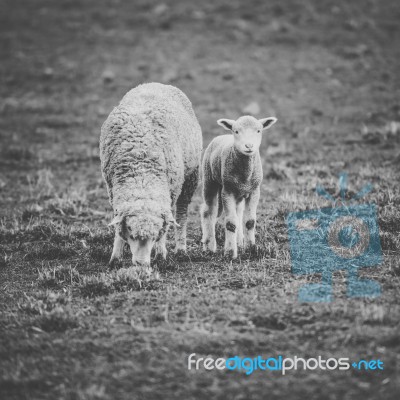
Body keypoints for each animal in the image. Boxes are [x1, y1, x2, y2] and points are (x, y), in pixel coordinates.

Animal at [99, 83, 202, 268]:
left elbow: (167, 225)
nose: (141, 264)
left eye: (155, 235)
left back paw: (181, 248)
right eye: (130, 231)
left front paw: (160, 253)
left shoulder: (171, 191)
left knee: (182, 213)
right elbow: (117, 225)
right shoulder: (112, 189)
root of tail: (157, 84)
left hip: (190, 177)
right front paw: (116, 256)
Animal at [202, 115, 276, 260]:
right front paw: (230, 253)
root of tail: (221, 136)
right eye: (236, 131)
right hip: (209, 180)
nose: (249, 146)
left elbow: (250, 222)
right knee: (208, 212)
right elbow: (230, 224)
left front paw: (251, 249)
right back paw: (209, 246)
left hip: (238, 193)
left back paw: (240, 242)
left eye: (259, 131)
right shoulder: (227, 191)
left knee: (238, 213)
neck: (245, 177)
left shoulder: (254, 191)